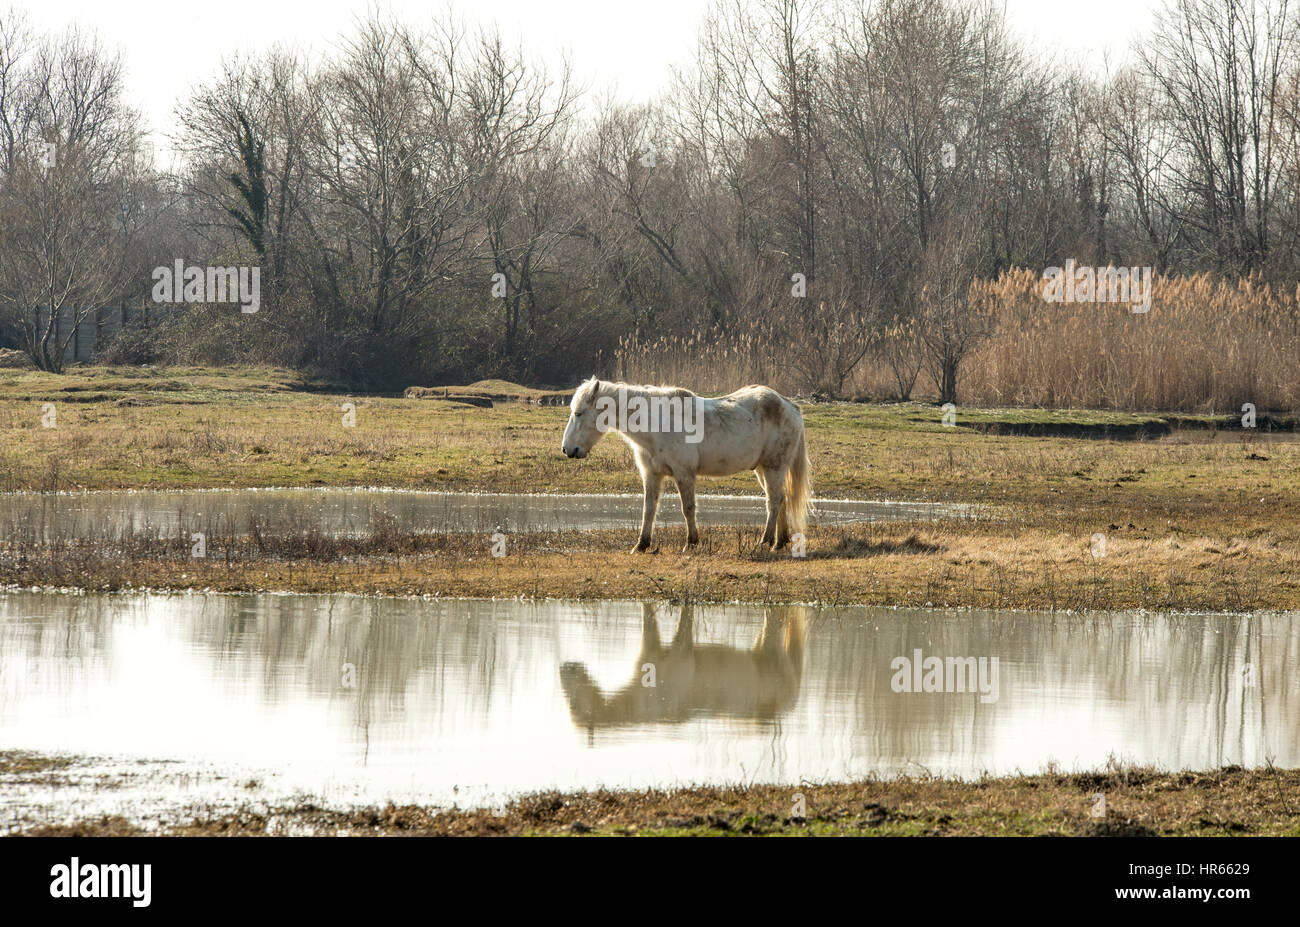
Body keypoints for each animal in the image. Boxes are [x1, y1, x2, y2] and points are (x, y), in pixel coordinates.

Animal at [561, 377, 811, 548]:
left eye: (579, 413)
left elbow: (688, 508)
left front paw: (691, 542)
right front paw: (641, 545)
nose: (567, 449)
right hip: (763, 469)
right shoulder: (651, 475)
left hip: (774, 467)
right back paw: (779, 541)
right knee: (781, 500)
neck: (657, 424)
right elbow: (649, 509)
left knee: (774, 501)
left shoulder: (684, 474)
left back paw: (765, 541)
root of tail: (790, 406)